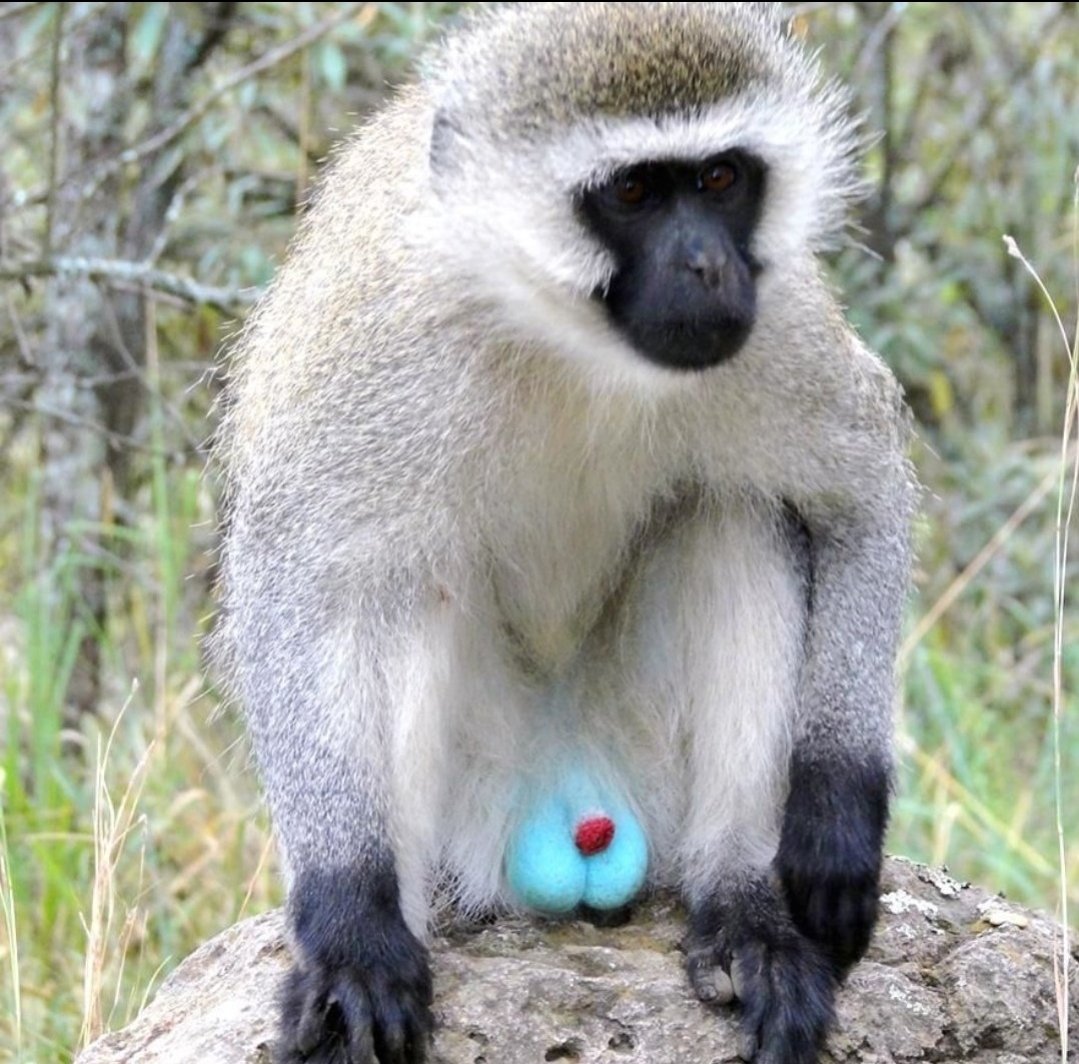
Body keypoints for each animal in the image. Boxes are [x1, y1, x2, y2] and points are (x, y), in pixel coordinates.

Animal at [213, 4, 915, 1063]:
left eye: (720, 179)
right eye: (632, 191)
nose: (708, 265)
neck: (563, 337)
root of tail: (571, 801)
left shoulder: (775, 321)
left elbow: (864, 497)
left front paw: (832, 822)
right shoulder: (380, 354)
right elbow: (299, 583)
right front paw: (350, 933)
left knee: (734, 510)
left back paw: (739, 906)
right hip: (472, 808)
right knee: (403, 582)